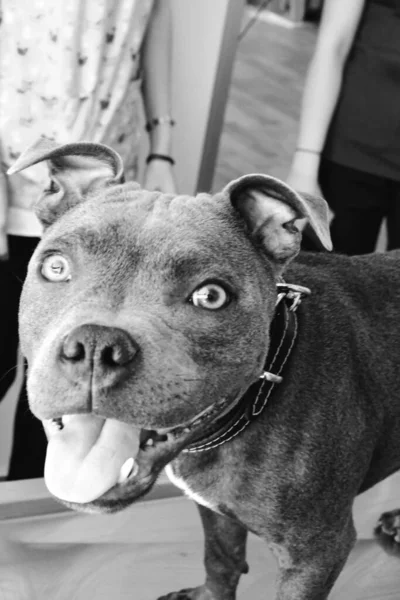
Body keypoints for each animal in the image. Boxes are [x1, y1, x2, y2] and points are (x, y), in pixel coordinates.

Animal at [7, 138, 400, 600]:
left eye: (211, 296)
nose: (97, 345)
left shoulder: (317, 552)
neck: (256, 400)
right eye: (55, 267)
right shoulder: (213, 510)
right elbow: (221, 558)